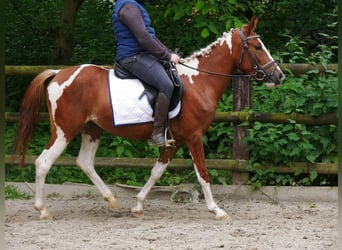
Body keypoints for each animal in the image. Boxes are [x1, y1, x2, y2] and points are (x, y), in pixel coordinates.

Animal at [13, 16, 284, 220]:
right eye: (257, 47)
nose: (279, 76)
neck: (198, 82)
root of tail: (57, 74)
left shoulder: (174, 140)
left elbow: (156, 171)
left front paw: (138, 205)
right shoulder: (194, 137)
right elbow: (202, 173)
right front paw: (216, 210)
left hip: (91, 129)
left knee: (85, 162)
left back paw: (112, 201)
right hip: (64, 131)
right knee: (43, 162)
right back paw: (42, 210)